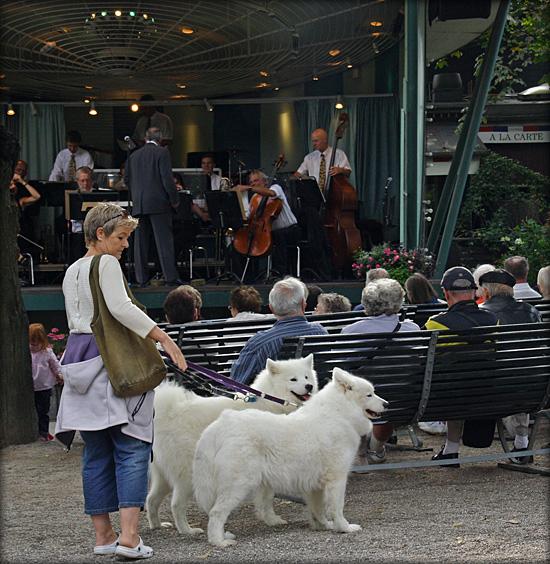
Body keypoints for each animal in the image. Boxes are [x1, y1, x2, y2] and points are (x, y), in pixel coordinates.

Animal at [147, 354, 320, 536]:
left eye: (306, 377)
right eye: (293, 379)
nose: (309, 386)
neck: (272, 401)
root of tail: (168, 412)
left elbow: (265, 499)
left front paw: (269, 519)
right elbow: (267, 498)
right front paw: (272, 519)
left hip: (163, 477)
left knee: (150, 499)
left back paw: (157, 525)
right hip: (188, 475)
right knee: (176, 504)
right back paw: (188, 530)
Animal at [193, 366, 388, 548]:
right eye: (370, 394)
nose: (386, 404)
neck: (340, 413)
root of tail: (220, 425)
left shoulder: (315, 486)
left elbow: (318, 510)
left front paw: (324, 526)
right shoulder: (337, 479)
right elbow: (337, 508)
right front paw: (344, 528)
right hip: (238, 485)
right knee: (216, 513)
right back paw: (219, 541)